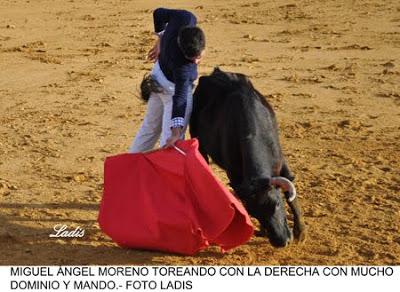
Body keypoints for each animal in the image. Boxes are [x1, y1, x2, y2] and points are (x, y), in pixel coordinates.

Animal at [190, 68, 306, 246]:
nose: (281, 242)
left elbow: (291, 196)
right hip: (198, 140)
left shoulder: (281, 163)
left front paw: (301, 233)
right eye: (255, 213)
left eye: (277, 204)